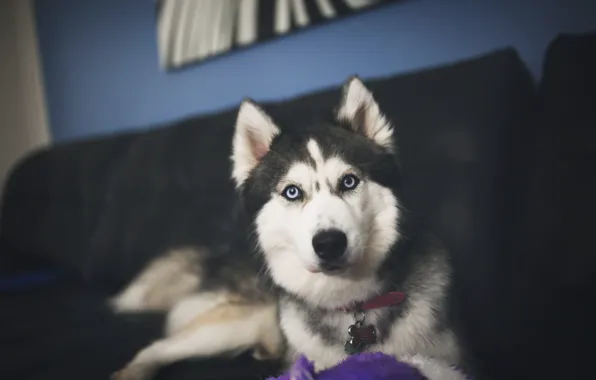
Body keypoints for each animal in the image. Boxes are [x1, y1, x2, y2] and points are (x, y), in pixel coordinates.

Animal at [113, 77, 466, 380]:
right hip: (233, 324)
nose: (329, 244)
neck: (350, 306)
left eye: (349, 182)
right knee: (156, 348)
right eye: (292, 192)